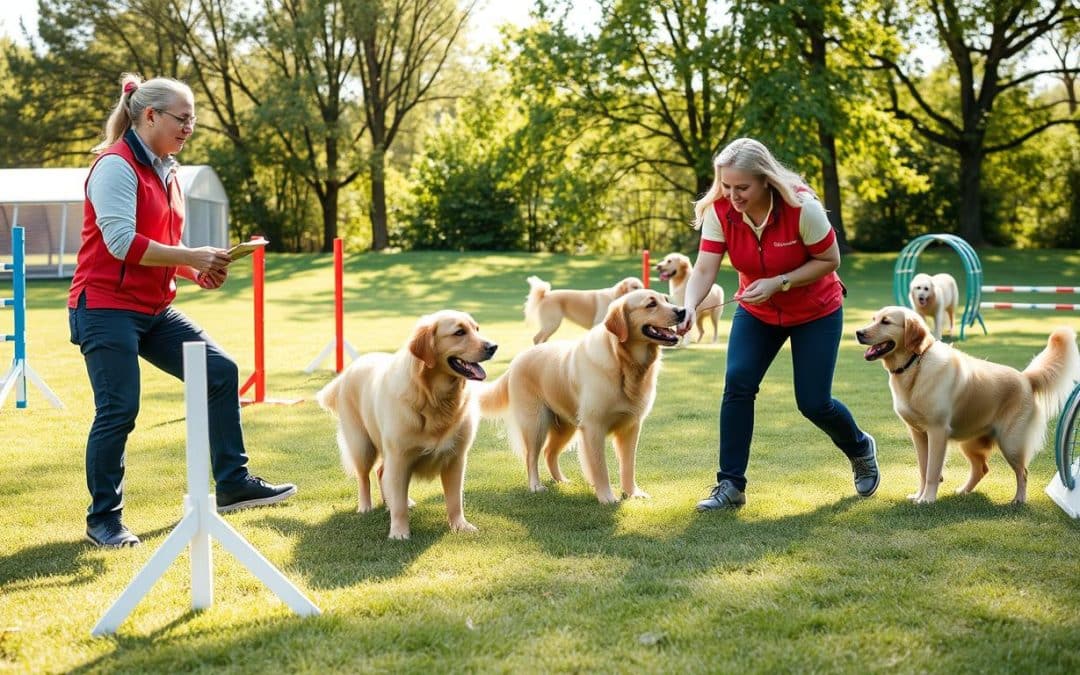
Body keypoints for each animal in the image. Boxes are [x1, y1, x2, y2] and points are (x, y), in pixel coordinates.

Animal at [315, 308, 494, 537]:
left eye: (477, 329)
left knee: (381, 472)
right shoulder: (399, 457)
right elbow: (398, 502)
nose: (493, 347)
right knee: (364, 477)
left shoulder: (456, 458)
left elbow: (455, 500)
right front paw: (399, 532)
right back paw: (365, 506)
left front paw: (460, 525)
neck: (433, 398)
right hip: (362, 445)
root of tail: (349, 370)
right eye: (459, 332)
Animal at [481, 287, 682, 503]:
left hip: (566, 426)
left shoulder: (632, 427)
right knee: (531, 456)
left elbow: (628, 465)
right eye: (651, 303)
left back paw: (561, 480)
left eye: (666, 300)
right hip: (535, 423)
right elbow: (600, 468)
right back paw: (536, 486)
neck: (623, 362)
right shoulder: (593, 428)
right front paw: (607, 497)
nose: (683, 311)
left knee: (549, 452)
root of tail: (517, 360)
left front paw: (632, 493)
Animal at [855, 308, 1075, 503]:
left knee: (1023, 472)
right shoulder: (918, 433)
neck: (916, 363)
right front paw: (918, 495)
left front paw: (927, 499)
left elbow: (932, 470)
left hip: (1010, 443)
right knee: (982, 469)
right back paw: (963, 491)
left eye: (886, 321)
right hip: (970, 443)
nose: (858, 333)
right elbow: (923, 469)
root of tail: (1026, 378)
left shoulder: (937, 431)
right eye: (873, 319)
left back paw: (1018, 500)